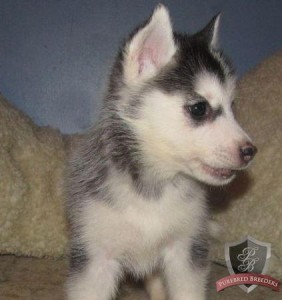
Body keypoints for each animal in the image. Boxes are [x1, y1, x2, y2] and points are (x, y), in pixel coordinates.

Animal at [65, 4, 256, 300]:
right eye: (199, 108)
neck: (155, 183)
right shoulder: (96, 258)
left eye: (232, 106)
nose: (250, 151)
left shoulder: (186, 251)